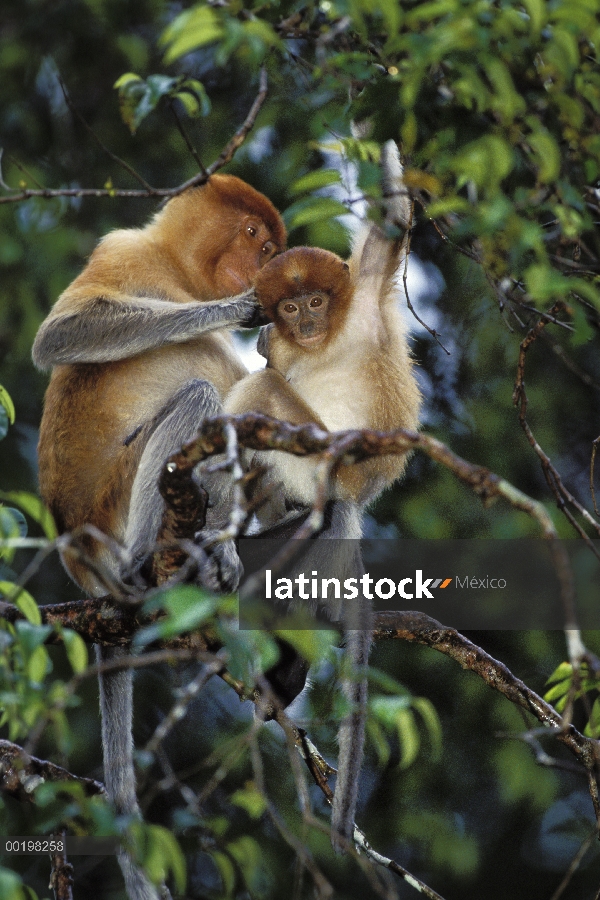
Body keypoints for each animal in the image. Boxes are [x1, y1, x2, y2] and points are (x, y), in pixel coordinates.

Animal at [32, 172, 286, 896]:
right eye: (254, 236)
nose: (261, 266)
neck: (176, 269)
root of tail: (80, 556)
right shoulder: (119, 250)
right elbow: (59, 336)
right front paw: (243, 307)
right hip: (115, 507)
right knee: (201, 398)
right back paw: (154, 567)